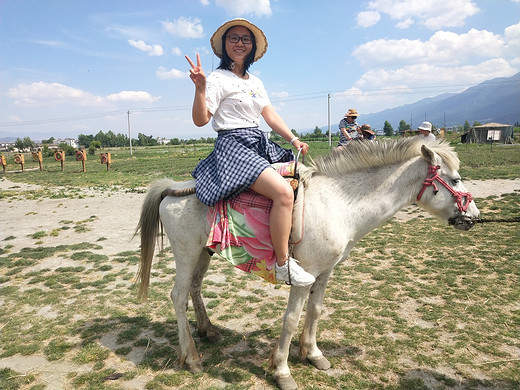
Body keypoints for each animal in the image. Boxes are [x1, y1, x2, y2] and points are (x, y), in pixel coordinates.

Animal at [136, 137, 482, 390]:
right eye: (454, 179)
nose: (474, 217)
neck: (339, 204)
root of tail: (173, 188)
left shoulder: (325, 272)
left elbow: (315, 311)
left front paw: (314, 355)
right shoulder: (304, 276)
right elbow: (291, 319)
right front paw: (282, 371)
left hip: (203, 254)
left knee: (195, 289)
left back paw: (208, 331)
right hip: (186, 254)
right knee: (178, 297)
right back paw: (192, 358)